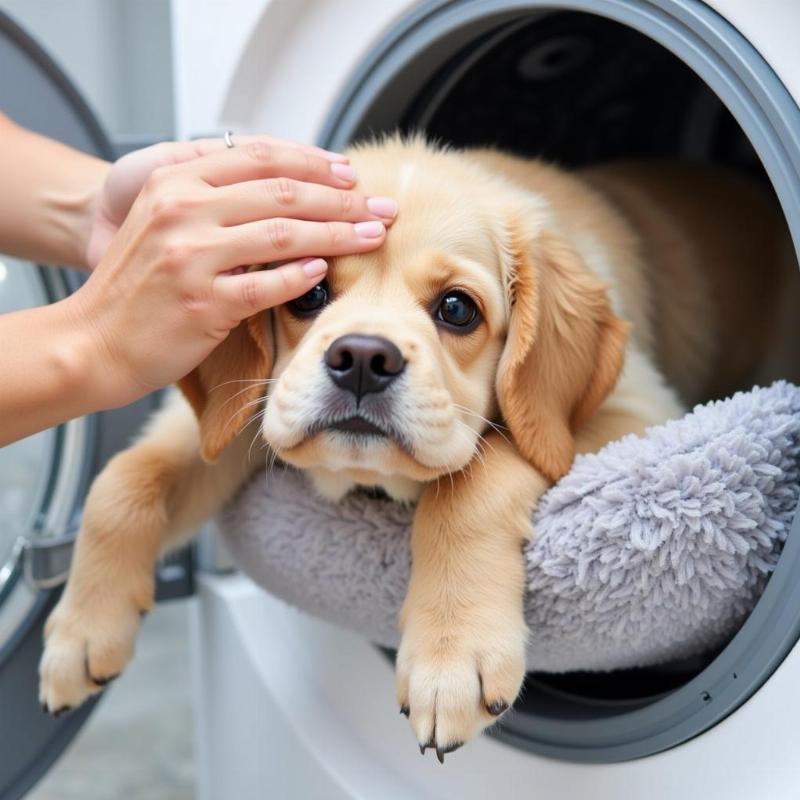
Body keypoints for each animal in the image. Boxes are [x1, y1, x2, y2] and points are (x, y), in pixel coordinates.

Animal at [40, 136, 796, 756]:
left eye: (457, 309)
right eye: (308, 292)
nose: (362, 358)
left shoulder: (633, 413)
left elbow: (480, 469)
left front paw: (450, 655)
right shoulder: (242, 411)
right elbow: (125, 477)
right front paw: (80, 629)